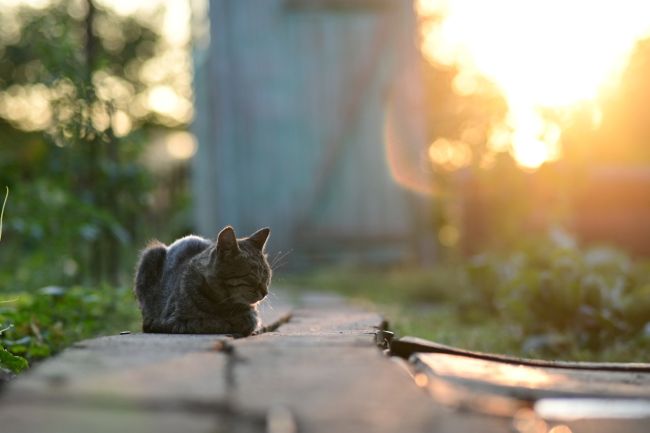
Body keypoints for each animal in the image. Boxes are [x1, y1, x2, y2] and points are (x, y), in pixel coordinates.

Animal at [134, 224, 270, 336]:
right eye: (252, 275)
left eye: (266, 275)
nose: (265, 292)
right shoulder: (176, 321)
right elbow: (213, 322)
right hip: (151, 255)